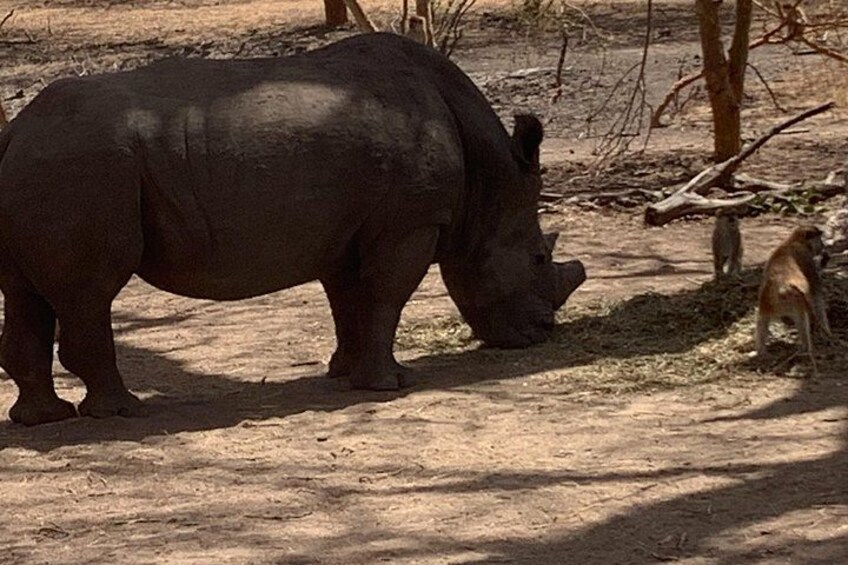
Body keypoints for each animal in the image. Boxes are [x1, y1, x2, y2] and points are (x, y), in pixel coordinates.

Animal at [0, 33, 585, 426]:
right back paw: (121, 412)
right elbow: (387, 296)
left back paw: (43, 419)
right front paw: (391, 385)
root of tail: (16, 131)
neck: (490, 178)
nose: (542, 333)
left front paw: (343, 373)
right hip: (87, 166)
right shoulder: (410, 221)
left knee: (27, 293)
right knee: (92, 291)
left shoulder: (346, 231)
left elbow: (350, 301)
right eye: (537, 258)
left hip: (51, 164)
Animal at [755, 225, 831, 372]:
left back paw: (761, 353)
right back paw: (805, 351)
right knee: (803, 318)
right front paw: (826, 331)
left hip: (766, 303)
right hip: (794, 300)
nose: (823, 246)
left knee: (762, 320)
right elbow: (816, 294)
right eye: (819, 237)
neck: (792, 241)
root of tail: (778, 288)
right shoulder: (806, 259)